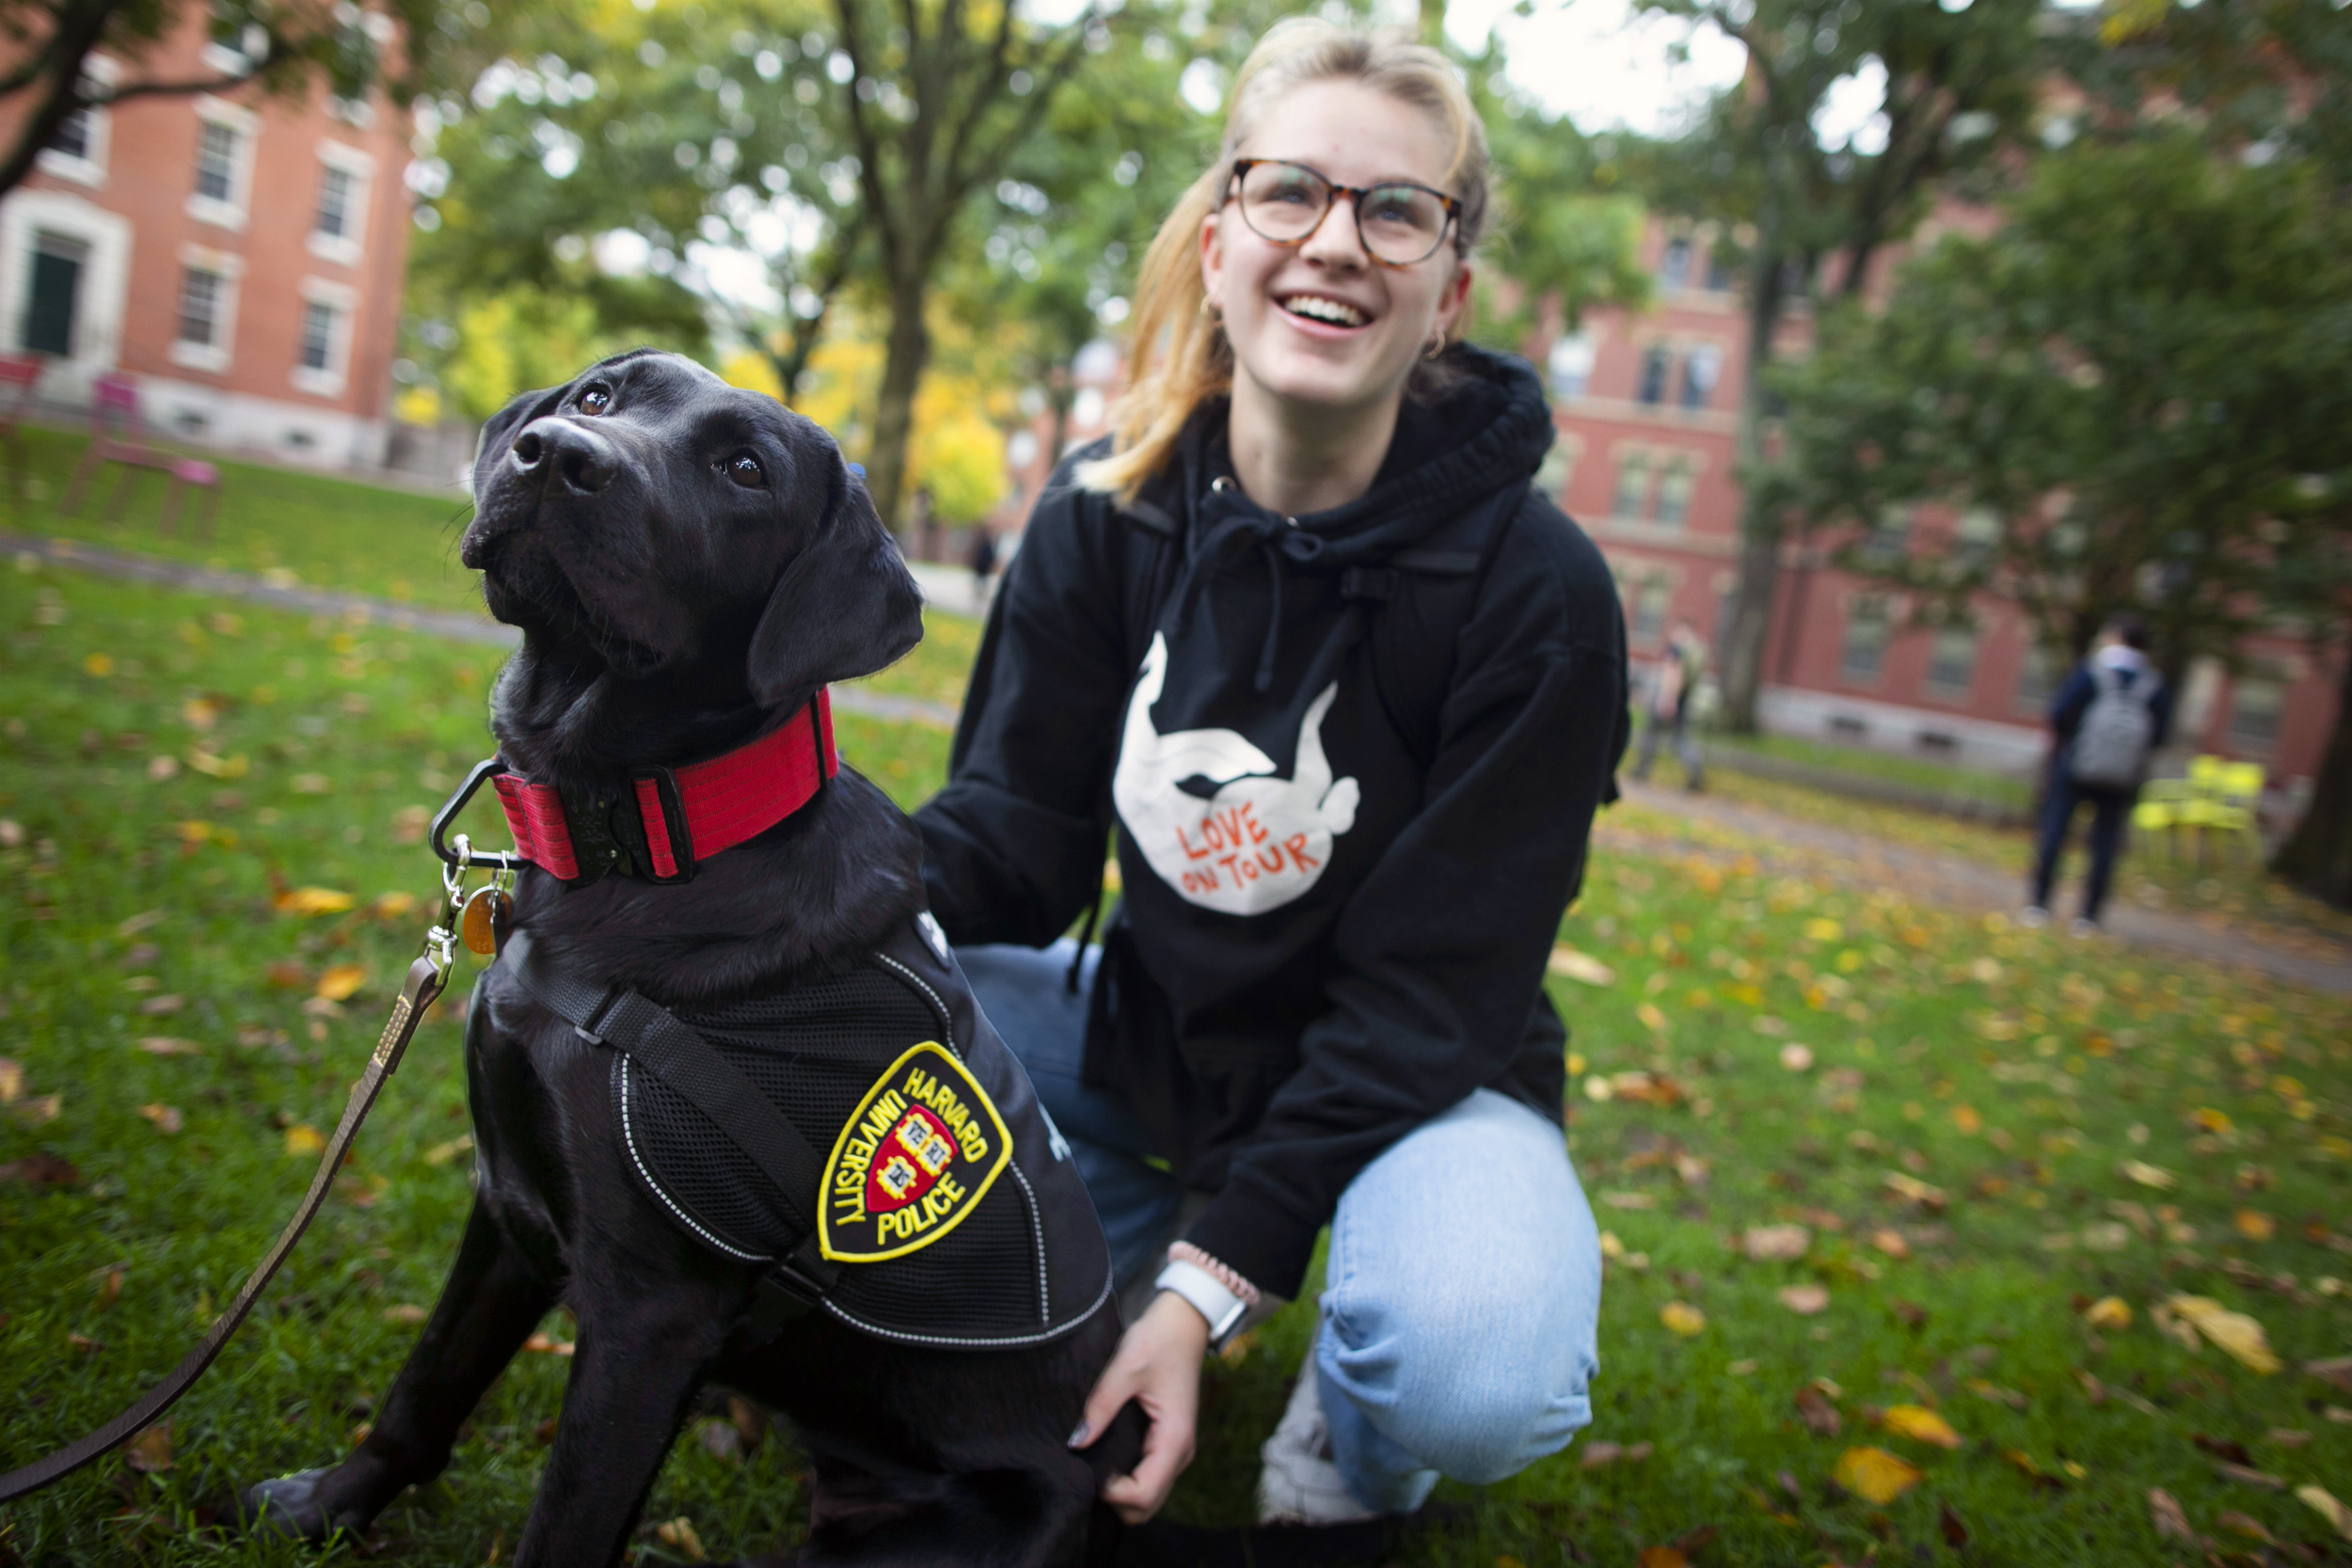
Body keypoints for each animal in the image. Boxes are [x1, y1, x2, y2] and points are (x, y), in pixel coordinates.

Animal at [243, 355, 1143, 1568]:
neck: (642, 840)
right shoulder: (509, 1205)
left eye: (746, 469)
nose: (555, 457)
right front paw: (326, 1508)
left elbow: (566, 1522)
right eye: (598, 398)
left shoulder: (648, 1314)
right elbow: (423, 1389)